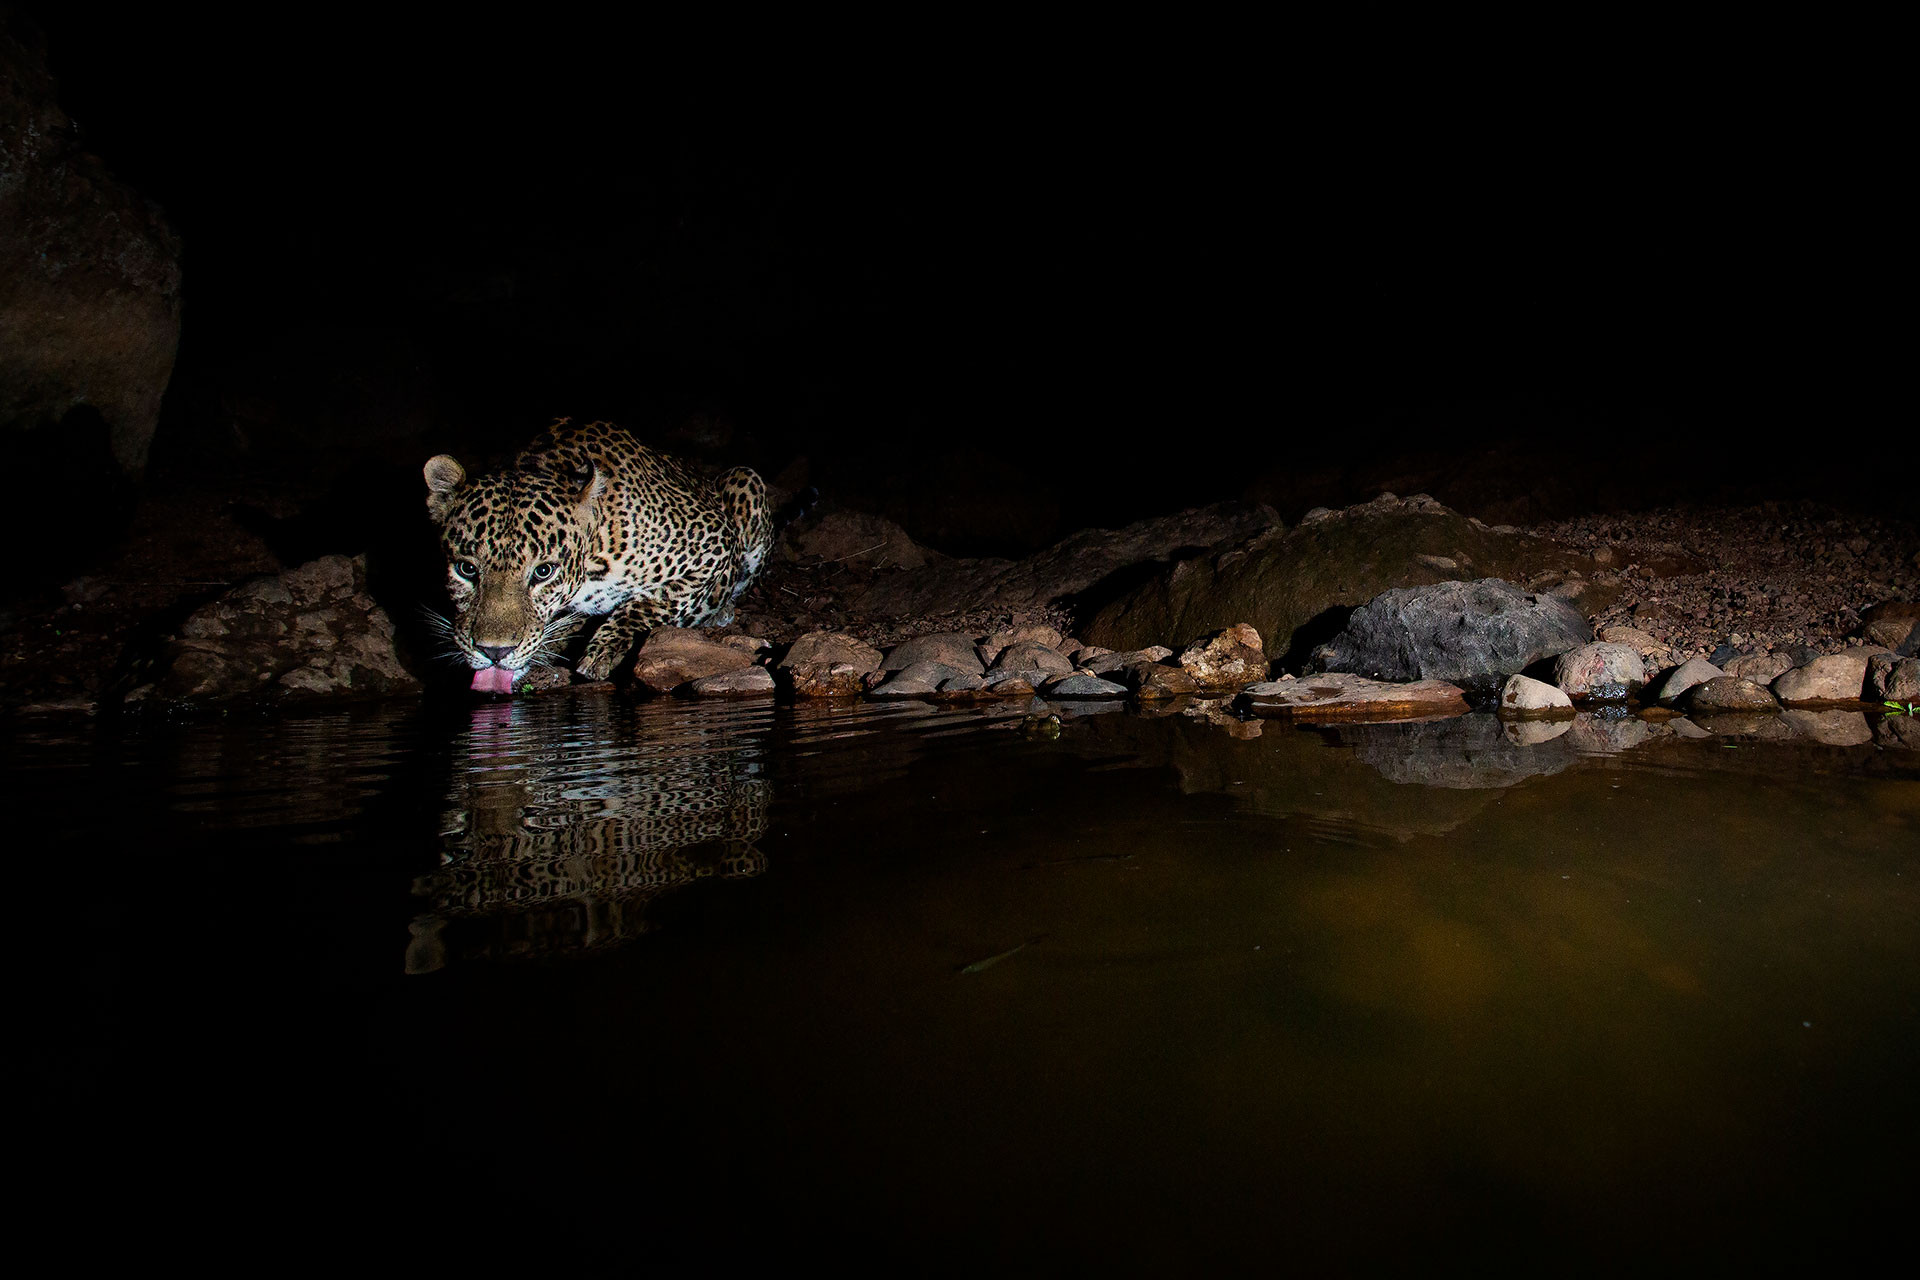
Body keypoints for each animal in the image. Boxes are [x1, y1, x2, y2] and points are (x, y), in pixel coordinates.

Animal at [423, 418, 773, 691]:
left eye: (543, 572)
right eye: (467, 569)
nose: (494, 652)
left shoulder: (713, 539)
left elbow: (655, 601)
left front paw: (603, 650)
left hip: (746, 479)